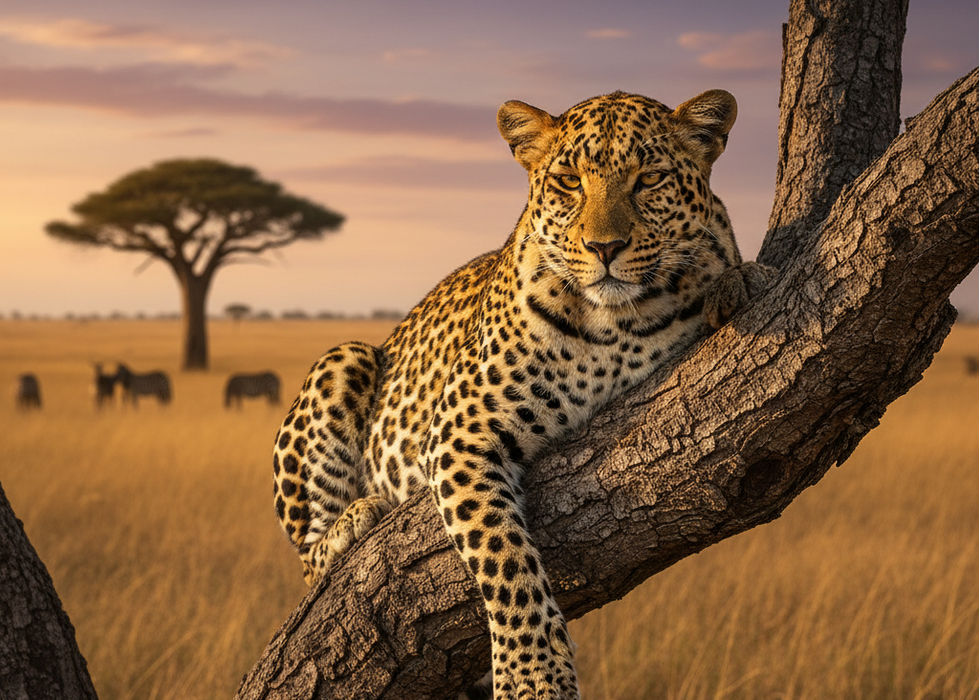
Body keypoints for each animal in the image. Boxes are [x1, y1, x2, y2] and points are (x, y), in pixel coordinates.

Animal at [272, 89, 772, 700]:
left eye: (650, 179)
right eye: (569, 181)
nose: (605, 247)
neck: (615, 325)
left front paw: (739, 281)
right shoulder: (461, 430)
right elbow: (503, 558)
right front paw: (533, 677)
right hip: (343, 358)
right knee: (309, 563)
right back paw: (356, 518)